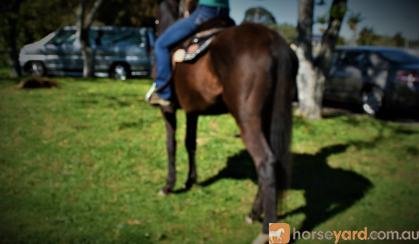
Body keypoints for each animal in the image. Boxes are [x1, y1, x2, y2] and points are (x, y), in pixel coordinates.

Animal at [154, 0, 298, 240]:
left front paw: (168, 186)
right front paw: (190, 180)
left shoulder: (169, 110)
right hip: (267, 117)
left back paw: (265, 230)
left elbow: (170, 145)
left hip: (247, 119)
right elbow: (190, 143)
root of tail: (273, 40)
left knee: (265, 161)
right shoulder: (193, 111)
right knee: (273, 160)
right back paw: (253, 213)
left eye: (155, 18)